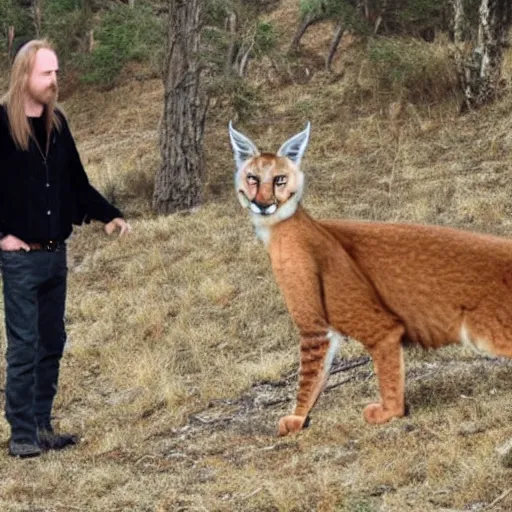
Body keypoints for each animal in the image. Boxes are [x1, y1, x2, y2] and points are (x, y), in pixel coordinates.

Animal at [228, 123, 512, 436]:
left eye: (279, 179)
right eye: (252, 178)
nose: (262, 204)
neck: (281, 226)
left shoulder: (333, 326)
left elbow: (312, 373)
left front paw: (386, 412)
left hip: (481, 333)